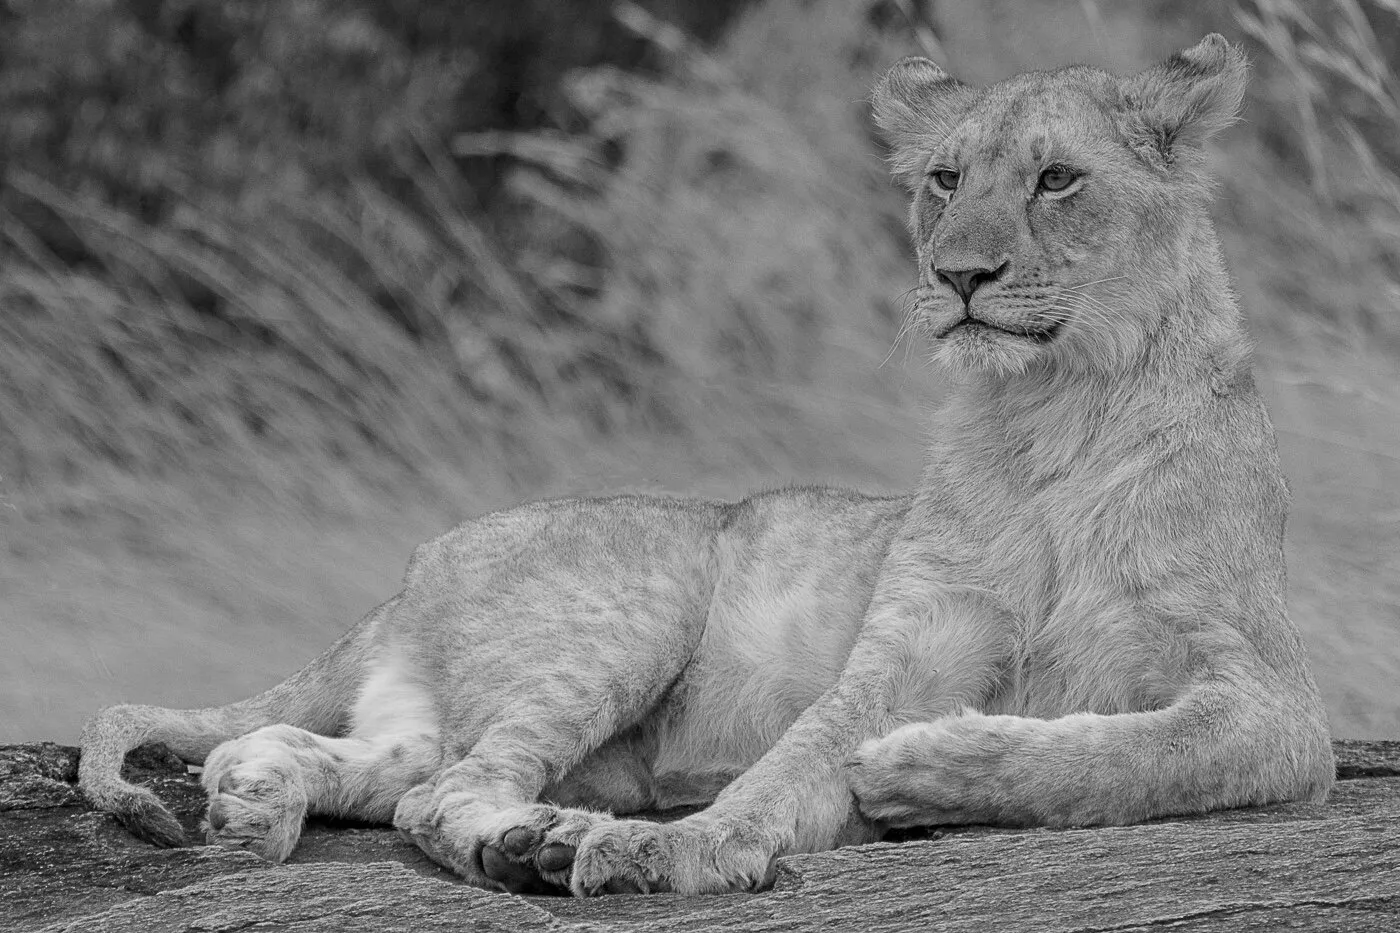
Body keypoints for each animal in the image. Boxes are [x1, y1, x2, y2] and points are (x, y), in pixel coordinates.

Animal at [78, 34, 1334, 897]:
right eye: (943, 179)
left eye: (1055, 180)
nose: (958, 275)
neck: (1049, 419)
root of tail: (413, 569)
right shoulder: (912, 637)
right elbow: (800, 755)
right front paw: (685, 846)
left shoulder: (1274, 701)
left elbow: (1140, 752)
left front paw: (922, 767)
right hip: (630, 612)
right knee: (435, 793)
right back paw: (537, 841)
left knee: (329, 755)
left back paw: (260, 809)